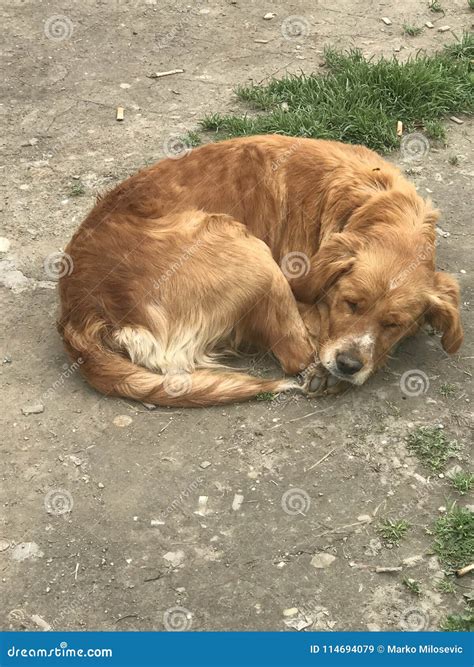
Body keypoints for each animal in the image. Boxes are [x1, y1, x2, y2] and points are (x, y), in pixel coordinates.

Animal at [58, 134, 462, 408]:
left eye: (394, 324)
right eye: (350, 304)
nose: (348, 365)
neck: (372, 203)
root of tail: (79, 309)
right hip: (250, 252)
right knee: (295, 352)